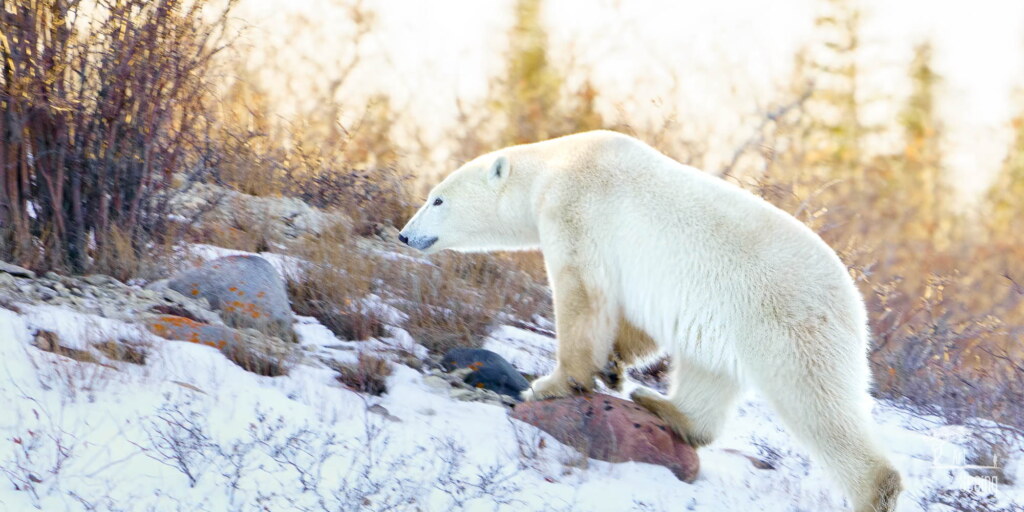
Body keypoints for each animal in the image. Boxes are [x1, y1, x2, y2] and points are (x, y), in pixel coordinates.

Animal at [398, 130, 902, 512]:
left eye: (437, 199)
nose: (405, 234)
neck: (553, 167)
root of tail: (856, 305)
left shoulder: (578, 210)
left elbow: (583, 294)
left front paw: (553, 384)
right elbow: (632, 317)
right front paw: (613, 368)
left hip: (784, 319)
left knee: (817, 404)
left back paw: (874, 490)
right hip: (735, 322)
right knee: (708, 373)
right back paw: (659, 405)